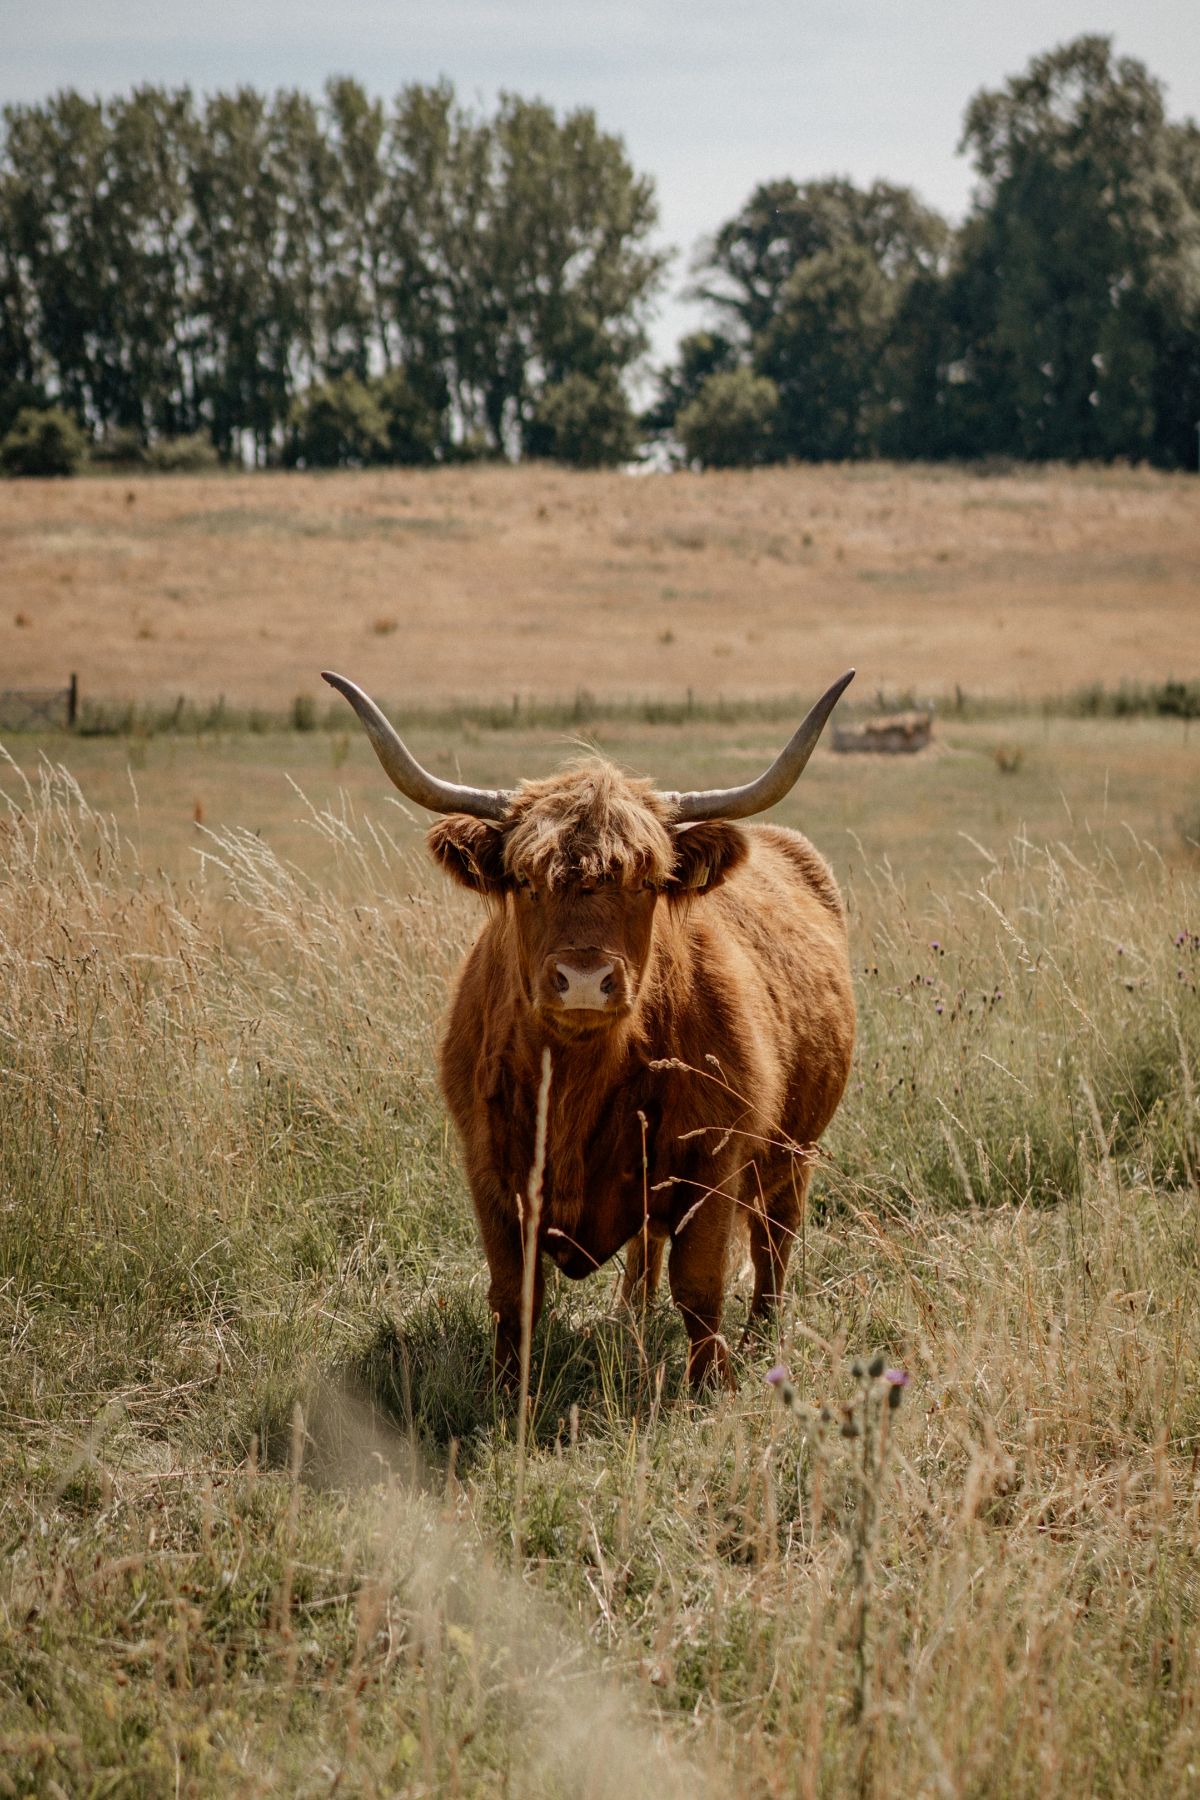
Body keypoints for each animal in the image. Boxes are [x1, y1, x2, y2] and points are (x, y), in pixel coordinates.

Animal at [323, 676, 859, 1389]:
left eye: (647, 882)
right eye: (525, 880)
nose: (583, 979)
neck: (579, 1079)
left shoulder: (713, 1162)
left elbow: (700, 1286)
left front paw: (708, 1386)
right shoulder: (491, 1166)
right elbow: (513, 1292)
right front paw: (507, 1390)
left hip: (795, 1147)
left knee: (776, 1236)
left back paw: (759, 1340)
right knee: (648, 1247)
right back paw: (627, 1318)